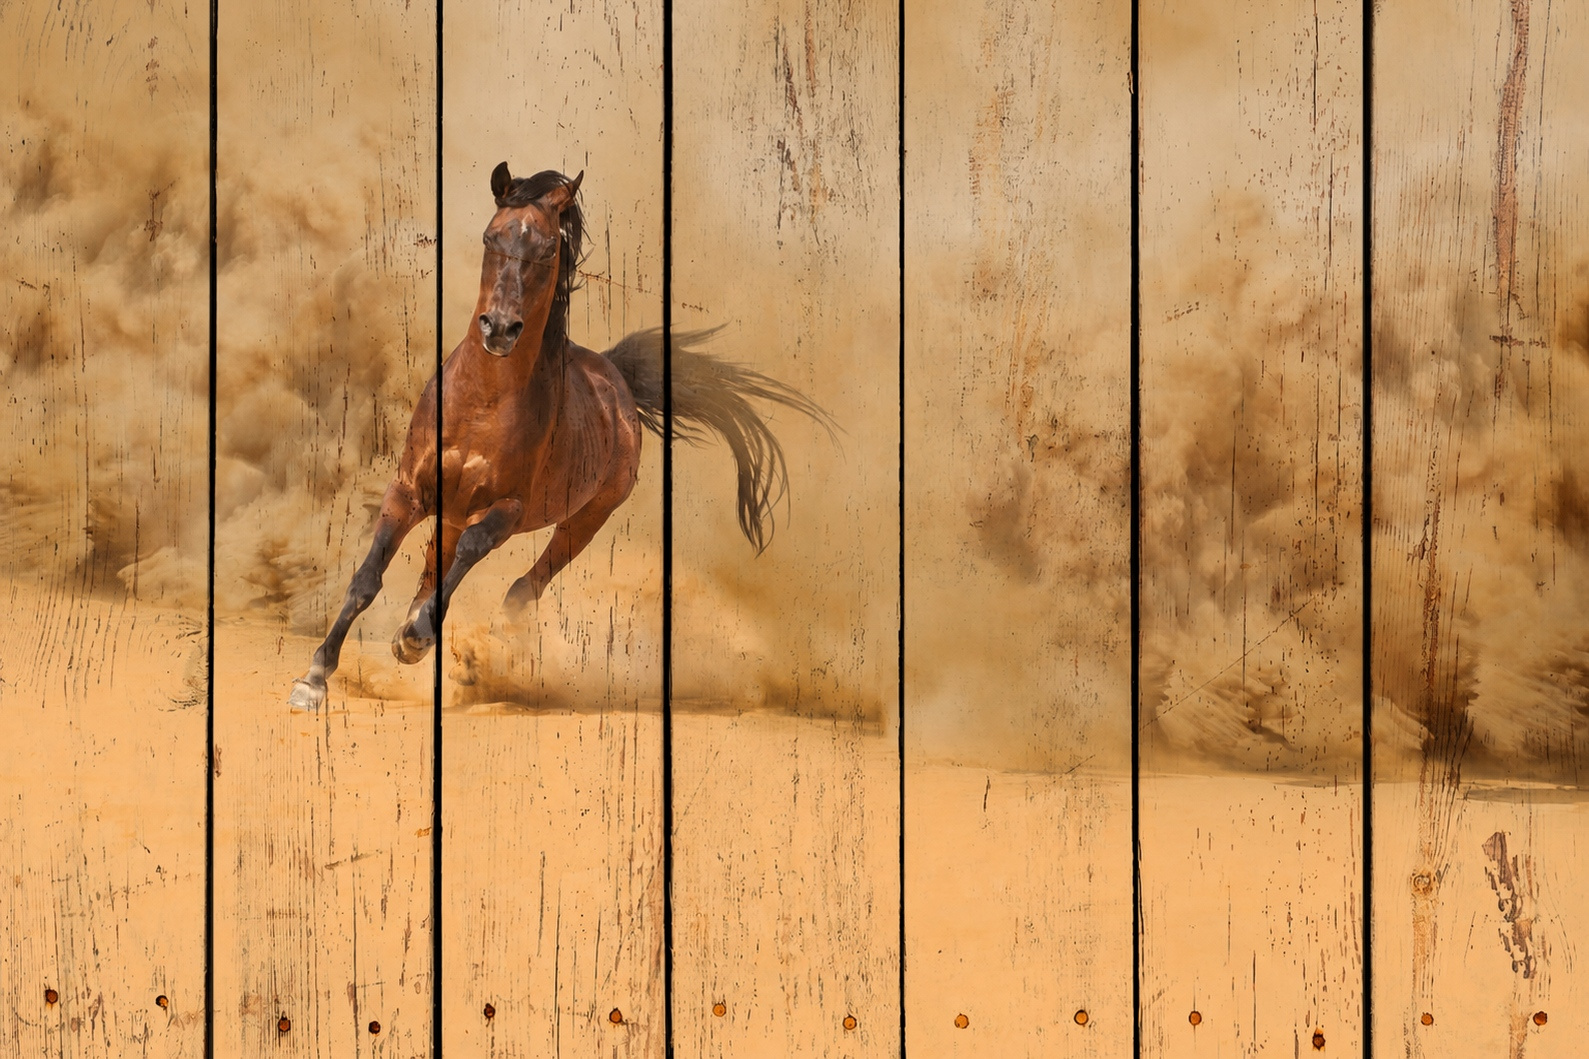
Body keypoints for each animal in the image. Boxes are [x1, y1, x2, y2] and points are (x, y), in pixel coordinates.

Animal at [289, 163, 832, 710]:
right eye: (491, 236)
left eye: (549, 248)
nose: (499, 329)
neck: (481, 404)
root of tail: (616, 379)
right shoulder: (408, 490)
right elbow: (366, 579)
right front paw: (314, 678)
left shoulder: (507, 510)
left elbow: (470, 554)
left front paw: (416, 639)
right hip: (455, 512)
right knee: (435, 571)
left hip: (584, 521)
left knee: (520, 589)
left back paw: (468, 657)